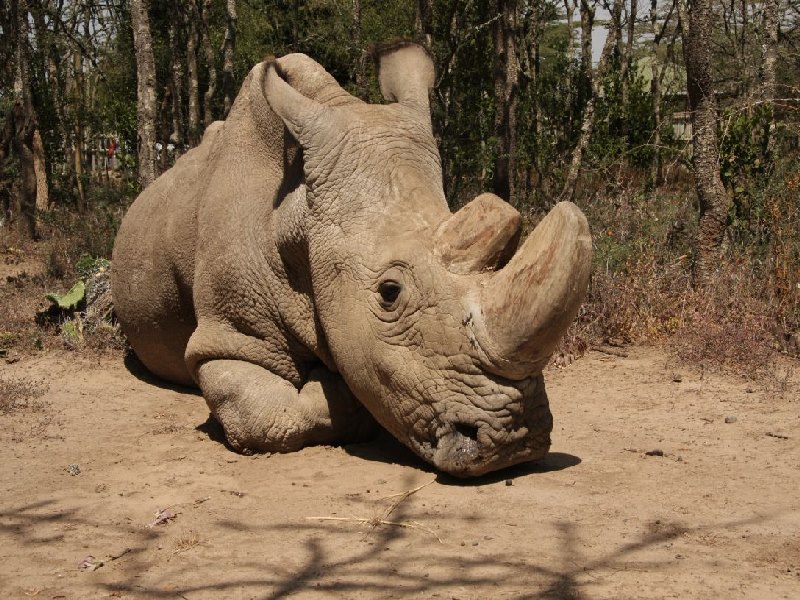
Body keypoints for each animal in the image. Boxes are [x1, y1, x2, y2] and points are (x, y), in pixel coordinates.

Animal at [111, 42, 588, 476]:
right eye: (390, 292)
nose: (516, 442)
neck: (298, 218)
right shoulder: (229, 336)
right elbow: (266, 416)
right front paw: (331, 387)